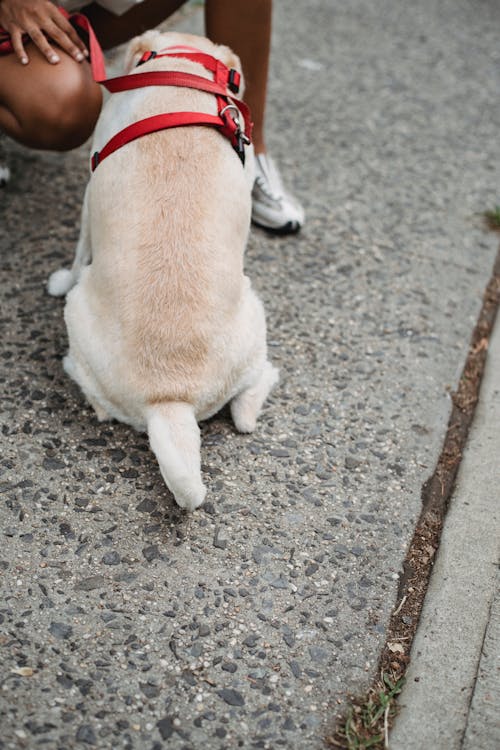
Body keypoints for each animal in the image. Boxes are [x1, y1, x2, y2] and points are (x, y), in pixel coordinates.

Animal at [47, 29, 278, 512]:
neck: (184, 71)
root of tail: (170, 399)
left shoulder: (90, 186)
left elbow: (78, 253)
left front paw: (59, 278)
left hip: (80, 312)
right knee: (246, 409)